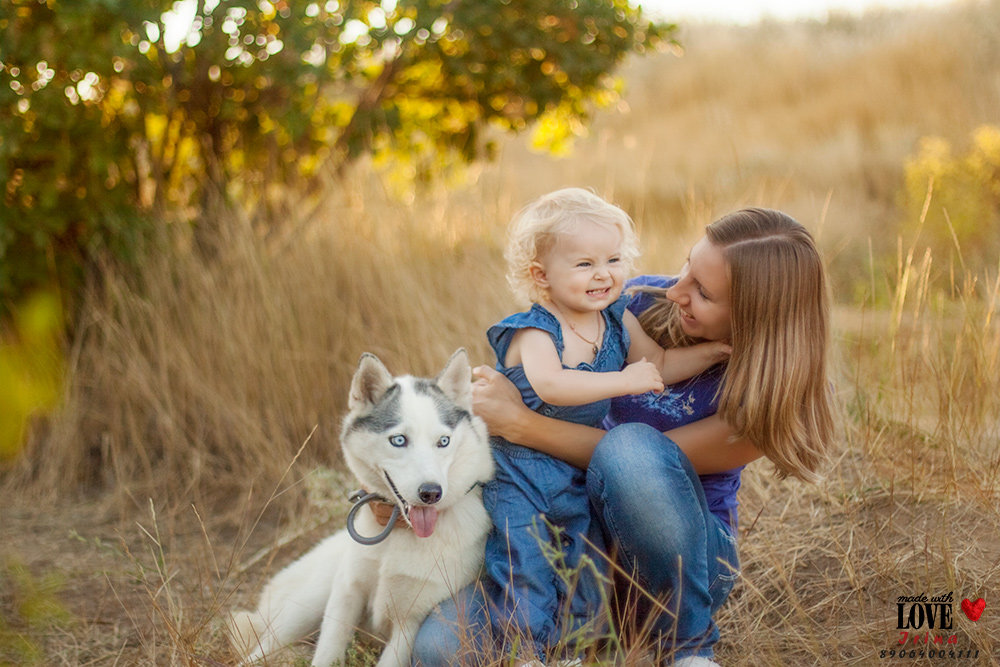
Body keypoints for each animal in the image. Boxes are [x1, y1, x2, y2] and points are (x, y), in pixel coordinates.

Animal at [234, 350, 500, 667]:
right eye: (399, 440)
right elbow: (326, 653)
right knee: (260, 649)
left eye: (443, 441)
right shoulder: (346, 594)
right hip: (306, 606)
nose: (431, 493)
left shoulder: (410, 623)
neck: (396, 530)